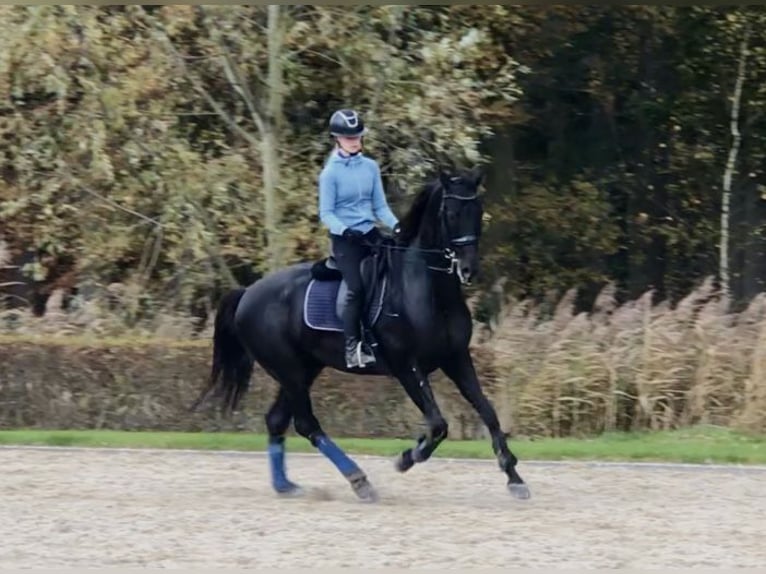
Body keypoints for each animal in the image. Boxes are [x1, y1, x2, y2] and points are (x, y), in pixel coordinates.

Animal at [191, 166, 530, 502]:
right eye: (450, 212)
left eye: (478, 210)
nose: (469, 269)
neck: (426, 290)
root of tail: (248, 293)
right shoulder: (406, 367)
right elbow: (437, 425)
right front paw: (406, 457)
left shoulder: (456, 358)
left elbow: (488, 412)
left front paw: (514, 477)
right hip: (288, 371)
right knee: (305, 423)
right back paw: (358, 480)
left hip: (304, 369)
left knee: (277, 420)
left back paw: (286, 485)